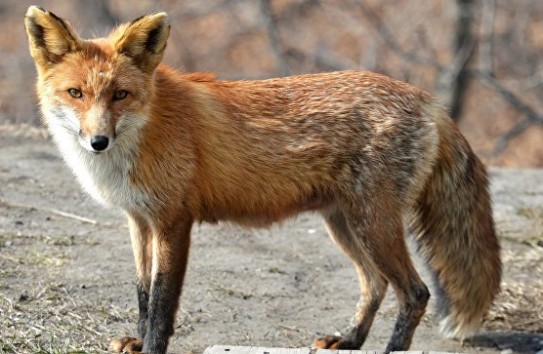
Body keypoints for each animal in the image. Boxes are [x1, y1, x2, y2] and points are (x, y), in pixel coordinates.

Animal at [25, 5, 502, 354]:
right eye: (76, 94)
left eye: (120, 95)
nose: (98, 141)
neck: (147, 131)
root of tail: (428, 99)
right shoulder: (140, 221)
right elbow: (143, 294)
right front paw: (138, 341)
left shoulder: (173, 223)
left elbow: (161, 303)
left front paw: (152, 347)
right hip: (346, 225)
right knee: (376, 283)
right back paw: (349, 339)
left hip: (372, 225)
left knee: (416, 292)